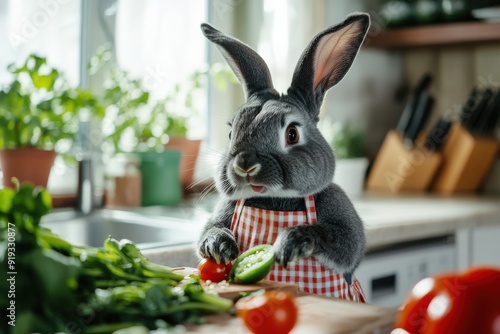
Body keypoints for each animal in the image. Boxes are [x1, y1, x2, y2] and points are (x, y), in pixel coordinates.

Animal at [197, 12, 370, 300]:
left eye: (292, 134)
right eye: (232, 132)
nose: (245, 163)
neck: (272, 200)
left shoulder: (342, 222)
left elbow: (344, 242)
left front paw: (291, 242)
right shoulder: (225, 209)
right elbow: (209, 228)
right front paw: (218, 247)